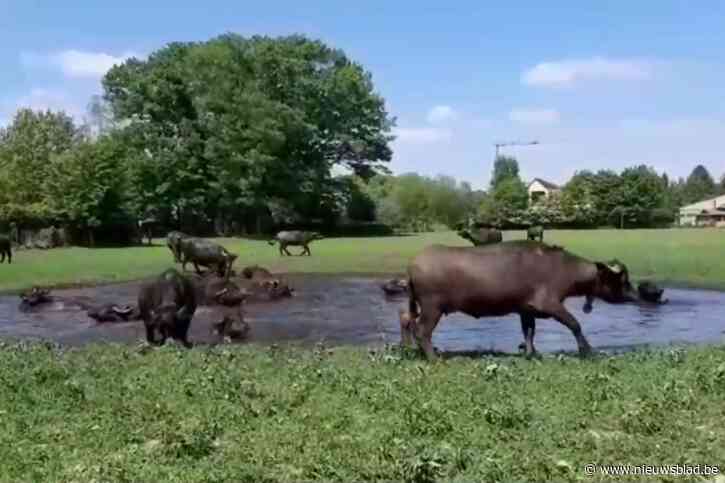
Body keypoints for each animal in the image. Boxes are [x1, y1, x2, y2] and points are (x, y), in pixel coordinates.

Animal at [404, 241, 639, 361]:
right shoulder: (550, 304)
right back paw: (434, 358)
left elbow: (529, 332)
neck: (563, 269)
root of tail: (414, 263)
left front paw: (530, 353)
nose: (636, 295)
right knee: (422, 331)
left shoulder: (526, 309)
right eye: (623, 280)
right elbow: (575, 324)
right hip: (432, 308)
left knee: (410, 323)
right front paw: (586, 350)